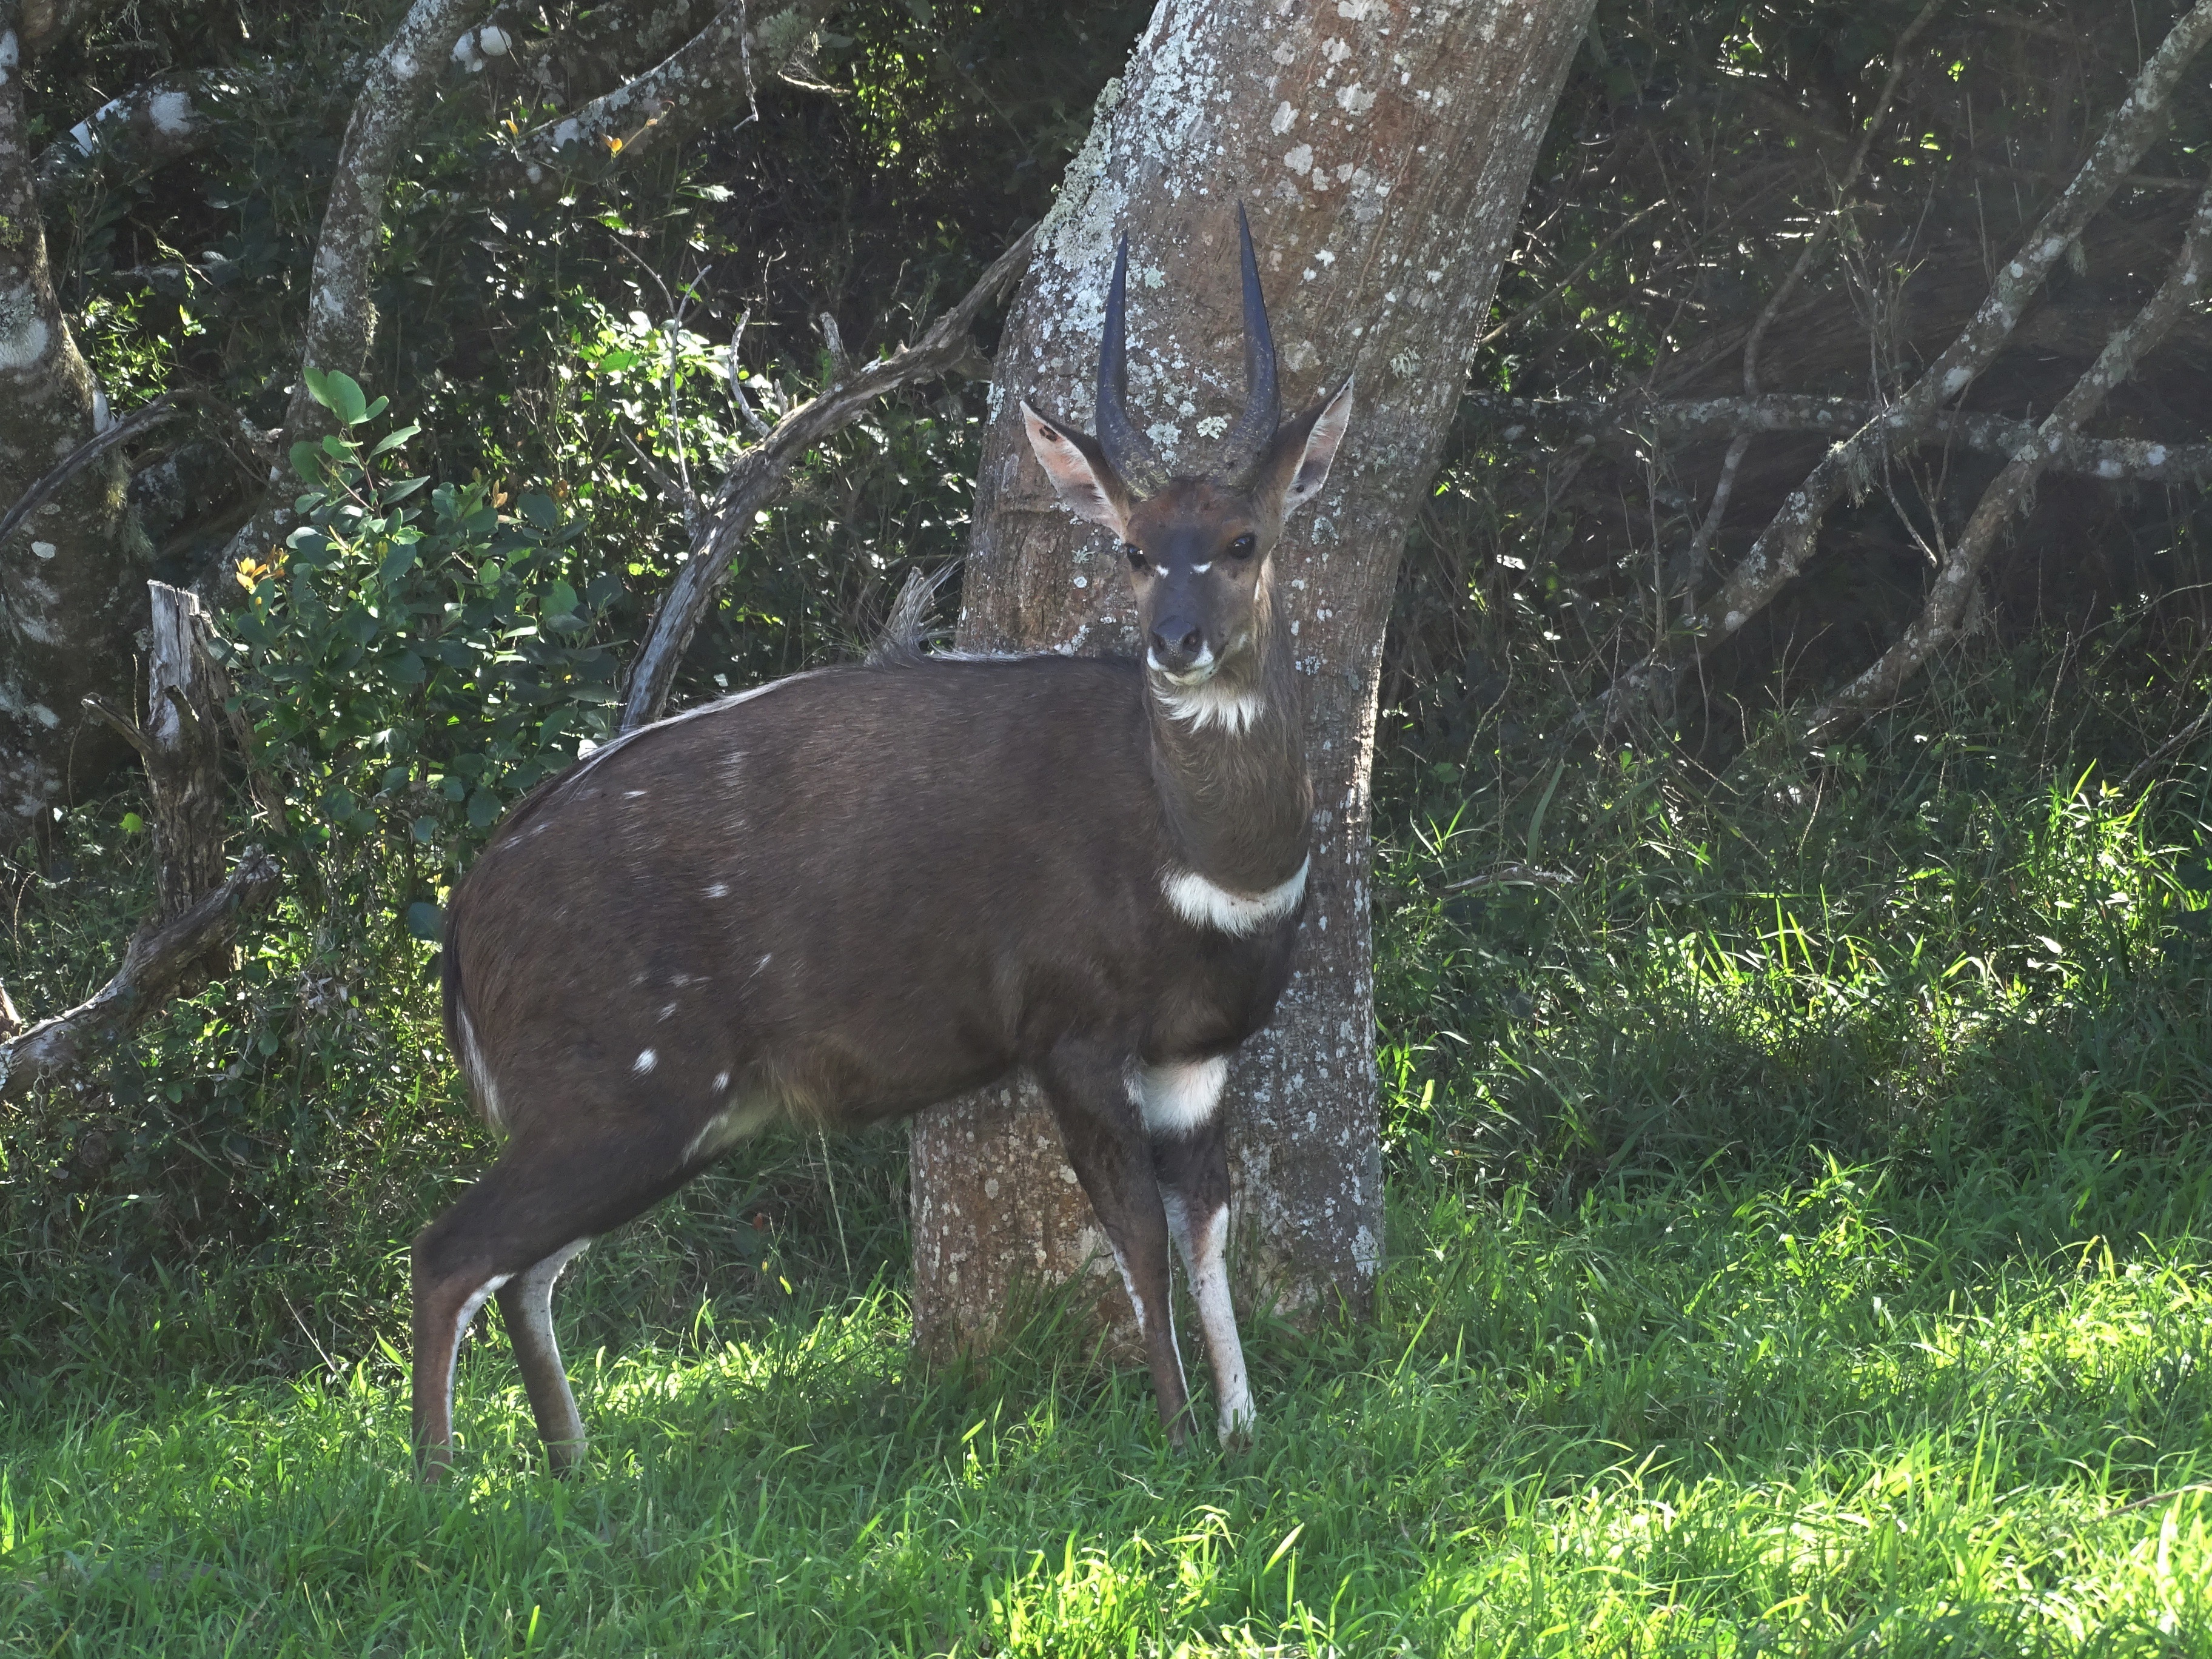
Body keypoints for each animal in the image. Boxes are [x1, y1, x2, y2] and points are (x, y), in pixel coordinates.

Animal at [414, 211, 1344, 1477]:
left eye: (1244, 539)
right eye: (1135, 551)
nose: (1177, 641)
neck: (1204, 855)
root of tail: (464, 917)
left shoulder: (1193, 1053)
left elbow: (1206, 1226)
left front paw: (1244, 1429)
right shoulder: (1068, 1032)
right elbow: (1137, 1237)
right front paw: (1171, 1435)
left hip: (667, 1119)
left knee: (523, 1274)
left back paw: (573, 1473)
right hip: (618, 1096)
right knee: (448, 1254)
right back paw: (439, 1486)